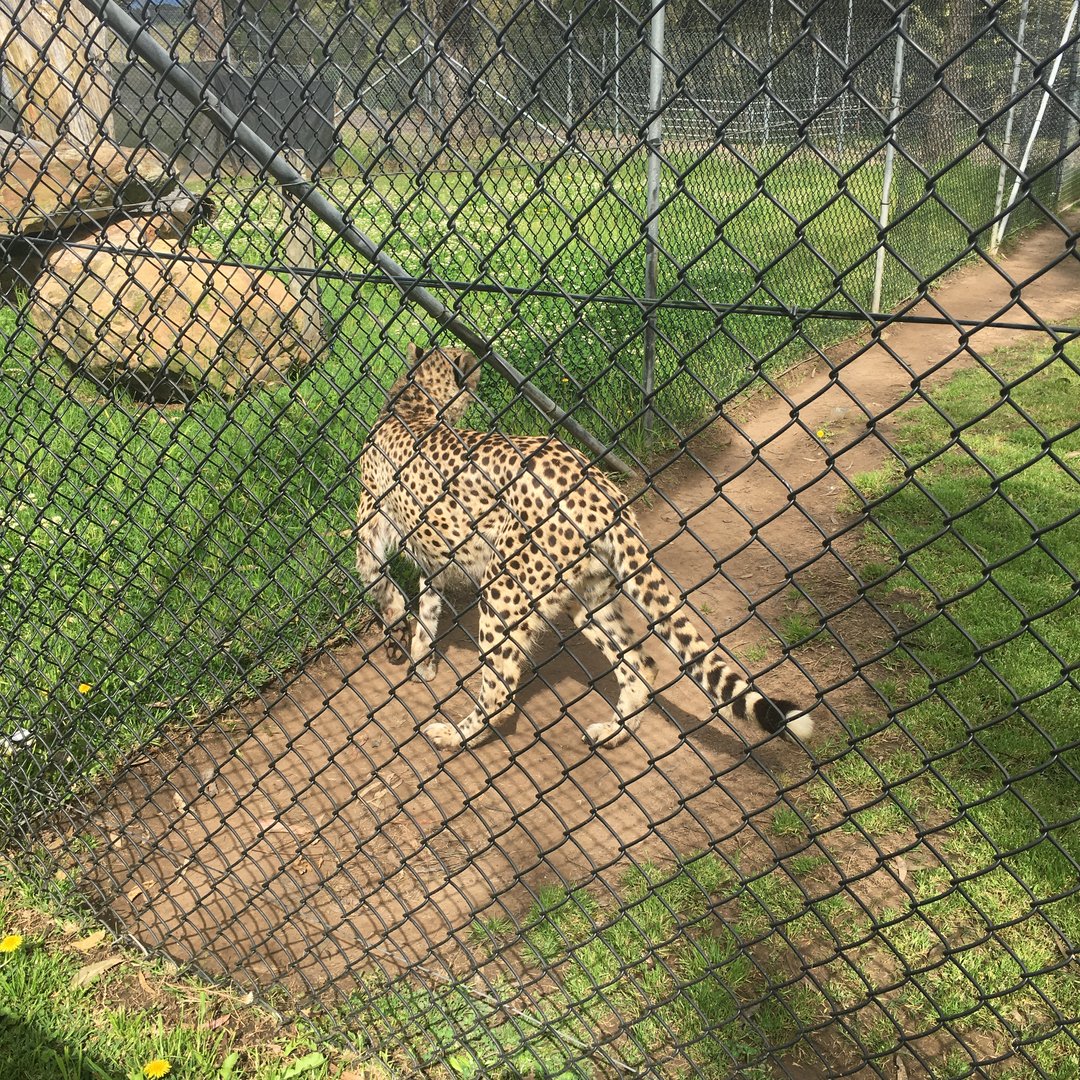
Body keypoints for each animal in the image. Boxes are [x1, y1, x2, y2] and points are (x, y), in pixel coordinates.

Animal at [355, 343, 814, 751]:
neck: (414, 402)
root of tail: (599, 488)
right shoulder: (433, 555)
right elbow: (427, 607)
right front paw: (422, 659)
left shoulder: (370, 528)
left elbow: (378, 582)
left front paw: (397, 633)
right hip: (588, 598)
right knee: (640, 664)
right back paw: (612, 733)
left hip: (505, 590)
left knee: (501, 693)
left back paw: (455, 735)